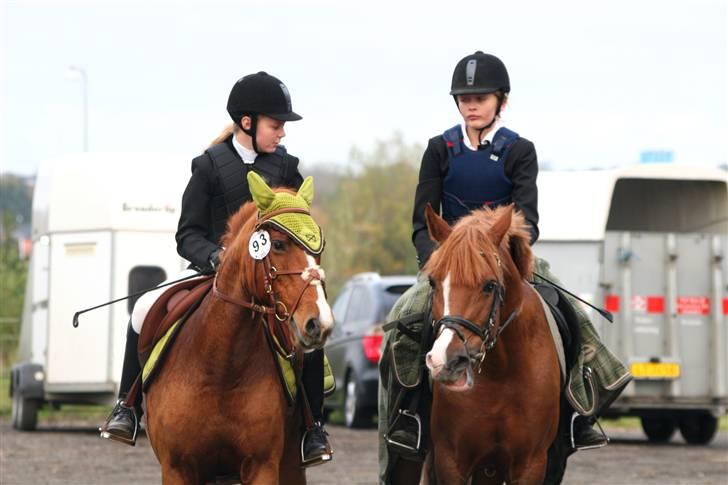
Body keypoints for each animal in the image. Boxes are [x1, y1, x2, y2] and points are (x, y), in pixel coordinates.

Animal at [143, 183, 336, 482]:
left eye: (319, 248)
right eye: (278, 244)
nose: (319, 323)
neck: (221, 367)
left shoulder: (263, 466)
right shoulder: (176, 468)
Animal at [420, 204, 556, 484]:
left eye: (489, 285)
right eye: (433, 282)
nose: (445, 361)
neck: (500, 373)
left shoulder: (532, 464)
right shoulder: (450, 461)